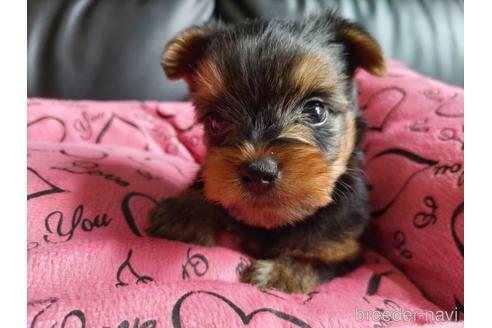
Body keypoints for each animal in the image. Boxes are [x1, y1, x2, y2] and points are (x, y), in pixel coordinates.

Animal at [146, 11, 384, 294]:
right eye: (215, 121)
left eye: (316, 111)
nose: (259, 173)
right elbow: (209, 183)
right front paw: (184, 211)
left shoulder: (343, 247)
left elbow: (314, 262)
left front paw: (276, 274)